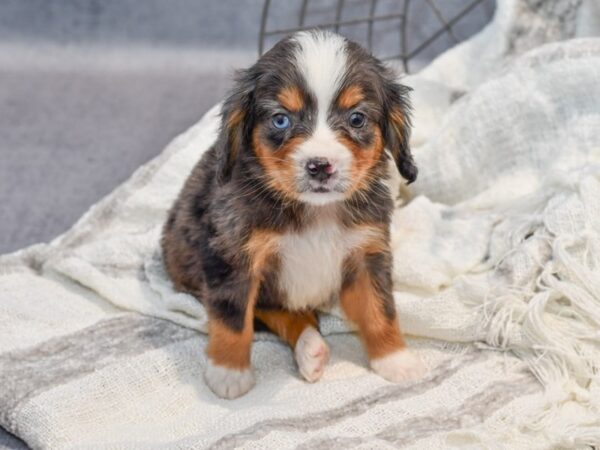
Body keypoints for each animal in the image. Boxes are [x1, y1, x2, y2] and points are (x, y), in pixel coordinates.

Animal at [163, 29, 426, 400]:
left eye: (356, 118)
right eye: (281, 119)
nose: (320, 166)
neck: (316, 212)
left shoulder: (367, 253)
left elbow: (380, 309)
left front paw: (395, 359)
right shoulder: (232, 256)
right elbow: (233, 317)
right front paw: (228, 372)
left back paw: (310, 349)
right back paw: (308, 346)